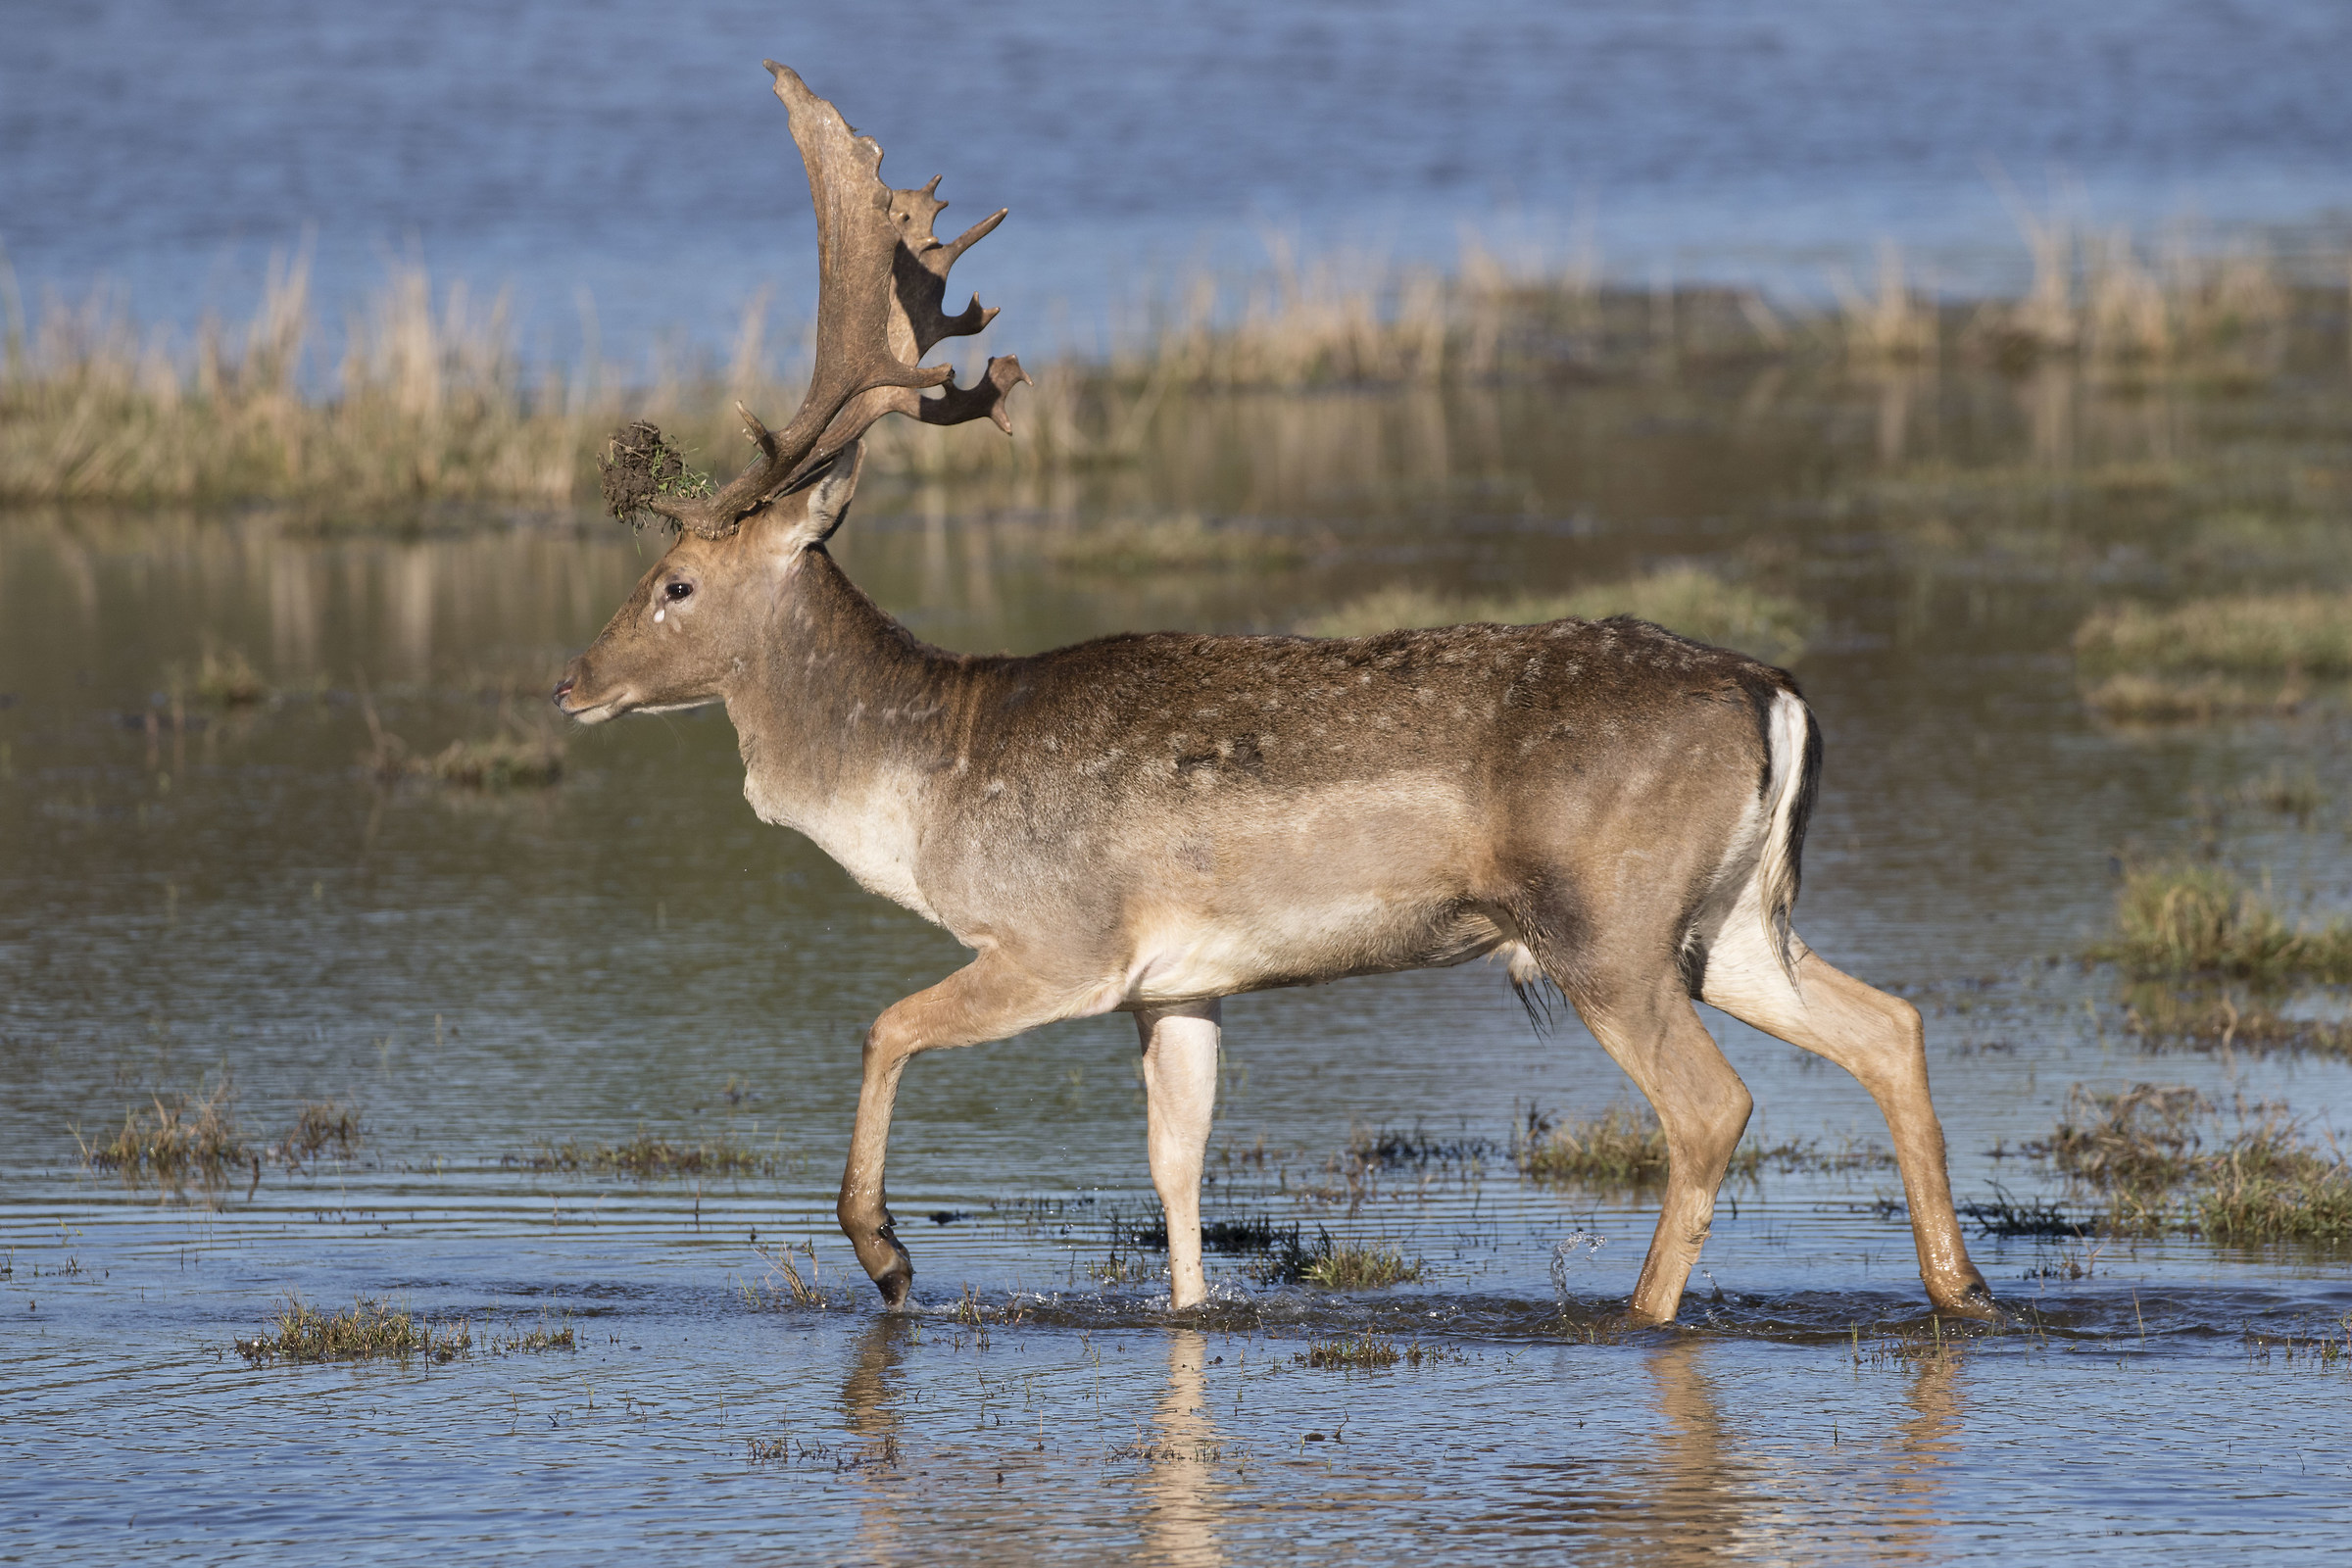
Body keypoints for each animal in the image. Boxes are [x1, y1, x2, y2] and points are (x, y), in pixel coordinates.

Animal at [554, 61, 1996, 1327]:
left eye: (676, 580)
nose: (571, 681)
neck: (927, 786)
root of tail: (1776, 693)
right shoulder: (1177, 985)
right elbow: (1176, 1169)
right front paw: (1187, 1313)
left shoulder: (1061, 939)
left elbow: (886, 1025)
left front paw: (889, 1257)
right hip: (1732, 918)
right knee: (1890, 1024)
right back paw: (1961, 1290)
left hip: (1608, 923)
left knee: (1712, 1107)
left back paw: (1647, 1313)